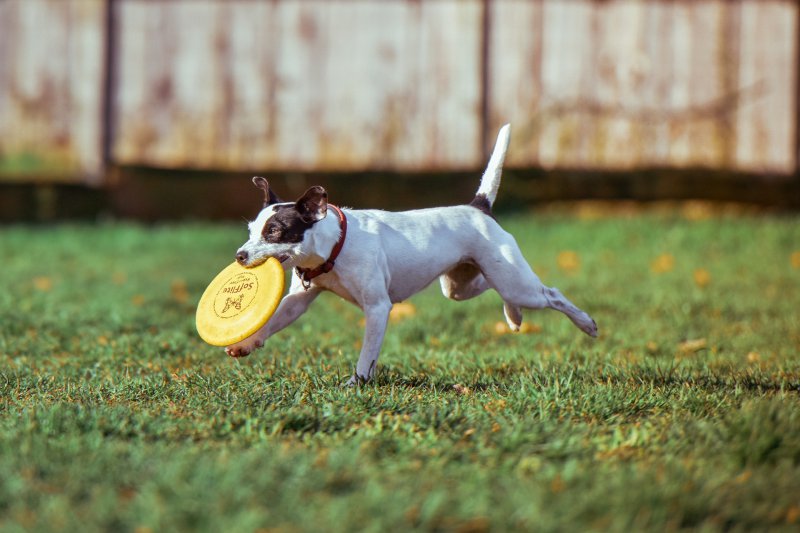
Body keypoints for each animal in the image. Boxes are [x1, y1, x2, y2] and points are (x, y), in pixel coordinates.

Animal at [223, 124, 592, 382]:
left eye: (274, 232)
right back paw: (513, 316)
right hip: (461, 285)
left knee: (551, 294)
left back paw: (586, 323)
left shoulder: (377, 308)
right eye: (251, 230)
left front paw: (357, 383)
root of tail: (478, 207)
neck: (334, 246)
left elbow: (367, 354)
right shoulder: (297, 300)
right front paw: (246, 343)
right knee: (493, 287)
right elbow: (273, 321)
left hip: (517, 283)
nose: (239, 256)